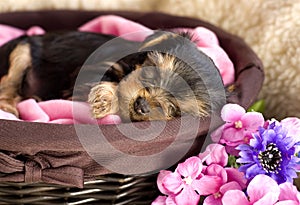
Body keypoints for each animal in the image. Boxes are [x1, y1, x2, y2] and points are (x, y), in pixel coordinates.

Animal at [0, 30, 226, 121]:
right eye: (151, 74)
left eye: (174, 109)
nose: (141, 105)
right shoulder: (91, 69)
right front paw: (105, 100)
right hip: (20, 51)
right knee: (7, 83)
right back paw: (9, 107)